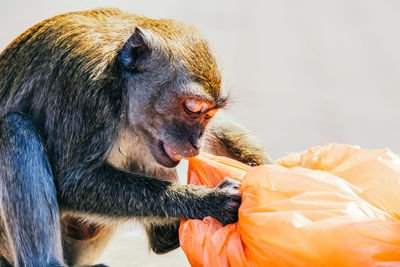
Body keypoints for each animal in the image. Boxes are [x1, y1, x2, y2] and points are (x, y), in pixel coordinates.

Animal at [0, 7, 272, 267]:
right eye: (192, 108)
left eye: (208, 115)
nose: (196, 144)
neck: (119, 80)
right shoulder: (84, 90)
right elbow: (73, 182)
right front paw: (210, 201)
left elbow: (218, 130)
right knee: (15, 128)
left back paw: (165, 239)